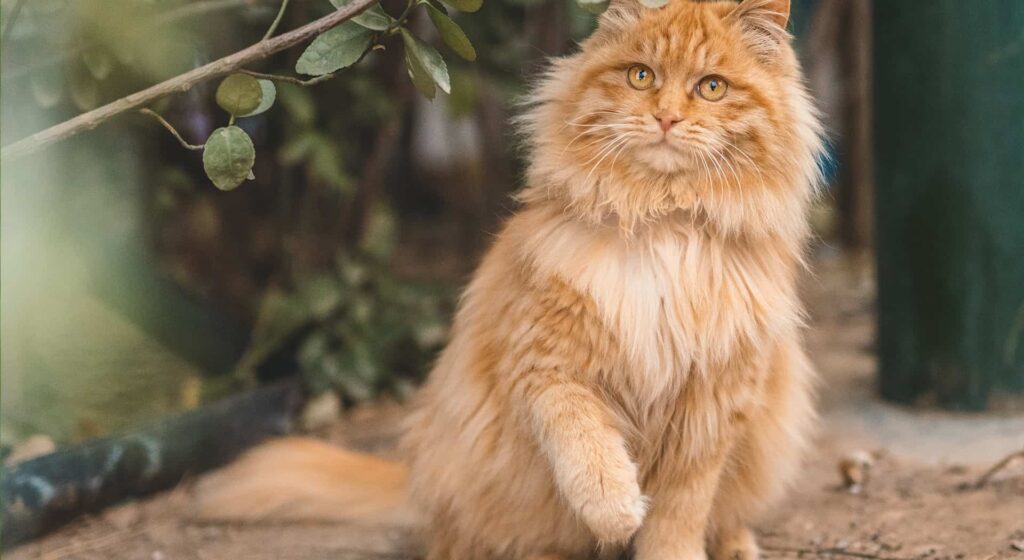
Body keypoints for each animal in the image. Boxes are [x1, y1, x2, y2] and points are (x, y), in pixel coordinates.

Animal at [197, 2, 823, 556]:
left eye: (712, 88)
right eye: (641, 76)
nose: (666, 118)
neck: (659, 221)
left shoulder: (715, 404)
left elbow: (681, 512)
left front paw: (664, 544)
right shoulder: (546, 366)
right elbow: (586, 447)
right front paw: (616, 509)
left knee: (728, 515)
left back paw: (738, 546)